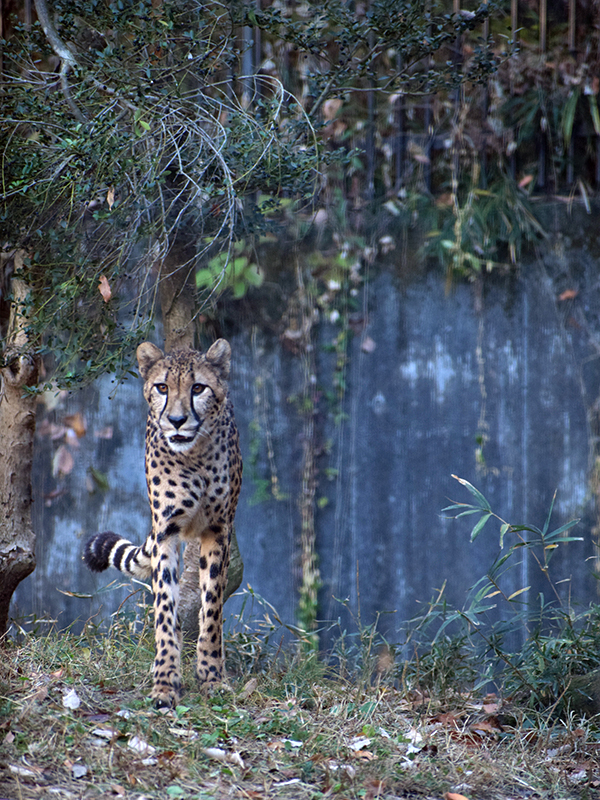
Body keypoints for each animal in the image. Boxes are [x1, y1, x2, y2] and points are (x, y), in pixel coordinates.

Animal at [83, 339, 242, 708]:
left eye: (198, 388)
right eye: (163, 388)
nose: (177, 420)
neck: (194, 456)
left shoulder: (218, 531)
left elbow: (212, 608)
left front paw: (212, 678)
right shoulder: (166, 532)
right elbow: (165, 611)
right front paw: (166, 682)